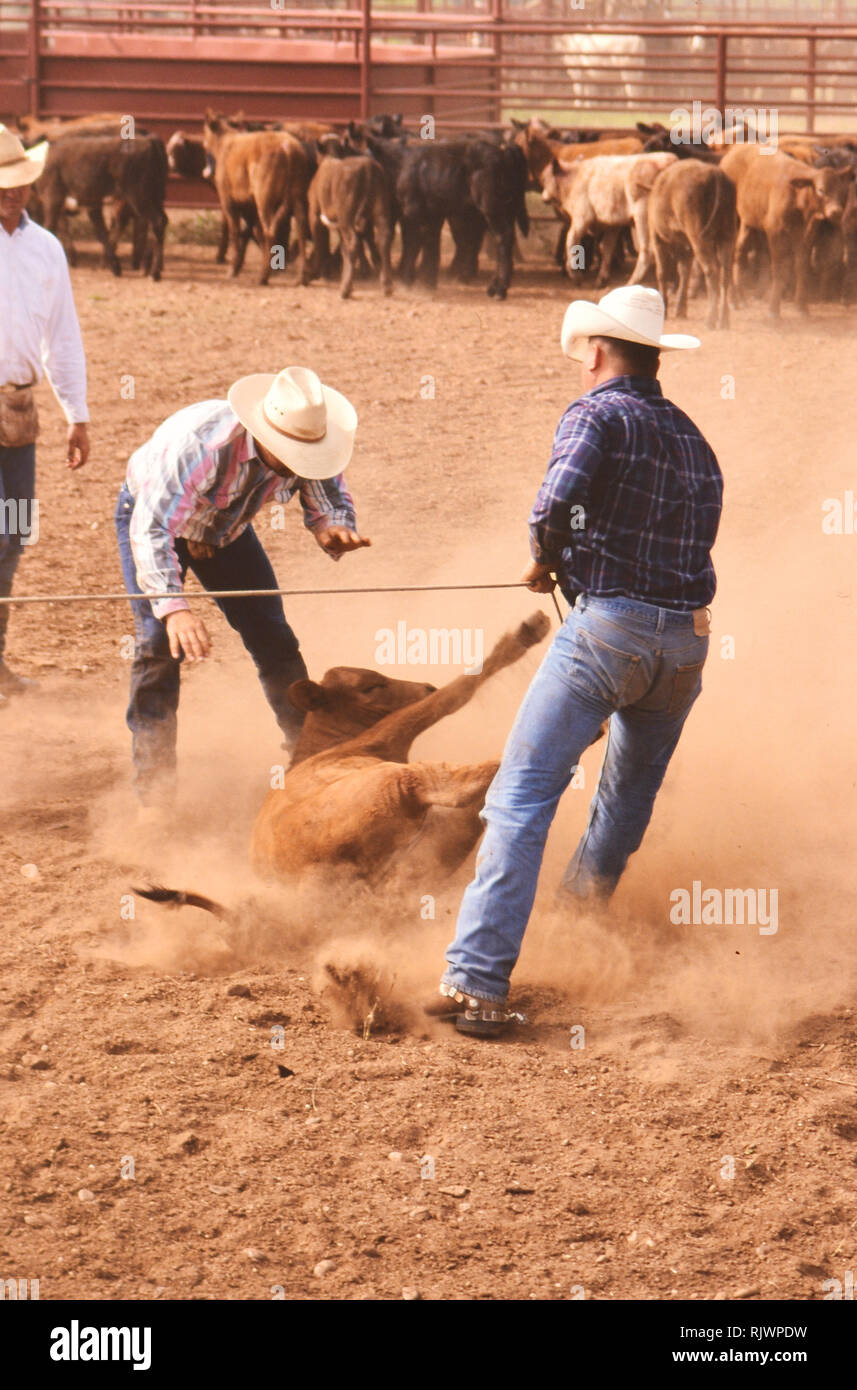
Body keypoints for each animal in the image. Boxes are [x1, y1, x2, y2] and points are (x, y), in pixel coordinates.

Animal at [202, 110, 309, 284]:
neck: (224, 143)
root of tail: (288, 148)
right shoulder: (250, 205)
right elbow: (251, 232)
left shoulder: (228, 201)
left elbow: (235, 232)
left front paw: (233, 269)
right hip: (298, 196)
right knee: (301, 230)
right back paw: (302, 277)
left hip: (265, 197)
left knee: (270, 231)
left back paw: (263, 277)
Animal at [302, 151, 391, 293]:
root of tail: (368, 167)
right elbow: (344, 247)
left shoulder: (315, 213)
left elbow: (320, 243)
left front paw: (311, 273)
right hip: (379, 212)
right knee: (383, 239)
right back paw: (387, 286)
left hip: (347, 217)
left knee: (354, 242)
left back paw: (345, 289)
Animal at [541, 151, 675, 284]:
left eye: (546, 179)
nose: (543, 198)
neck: (573, 179)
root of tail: (668, 160)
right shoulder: (613, 224)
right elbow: (606, 248)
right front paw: (602, 278)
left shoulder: (582, 218)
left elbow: (571, 240)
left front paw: (574, 275)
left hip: (643, 217)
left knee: (648, 250)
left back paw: (633, 281)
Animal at [647, 158, 733, 330]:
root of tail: (715, 173)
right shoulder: (685, 248)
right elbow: (684, 273)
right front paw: (681, 310)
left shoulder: (657, 239)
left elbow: (662, 272)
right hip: (726, 236)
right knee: (725, 274)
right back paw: (724, 320)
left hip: (699, 238)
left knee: (711, 270)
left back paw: (710, 320)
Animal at [716, 144, 850, 318]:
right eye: (821, 190)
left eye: (841, 190)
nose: (836, 212)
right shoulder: (775, 231)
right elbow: (779, 269)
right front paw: (774, 311)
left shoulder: (806, 234)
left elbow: (801, 266)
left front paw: (802, 307)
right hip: (732, 219)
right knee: (729, 252)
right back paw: (732, 300)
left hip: (747, 221)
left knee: (739, 251)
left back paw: (740, 299)